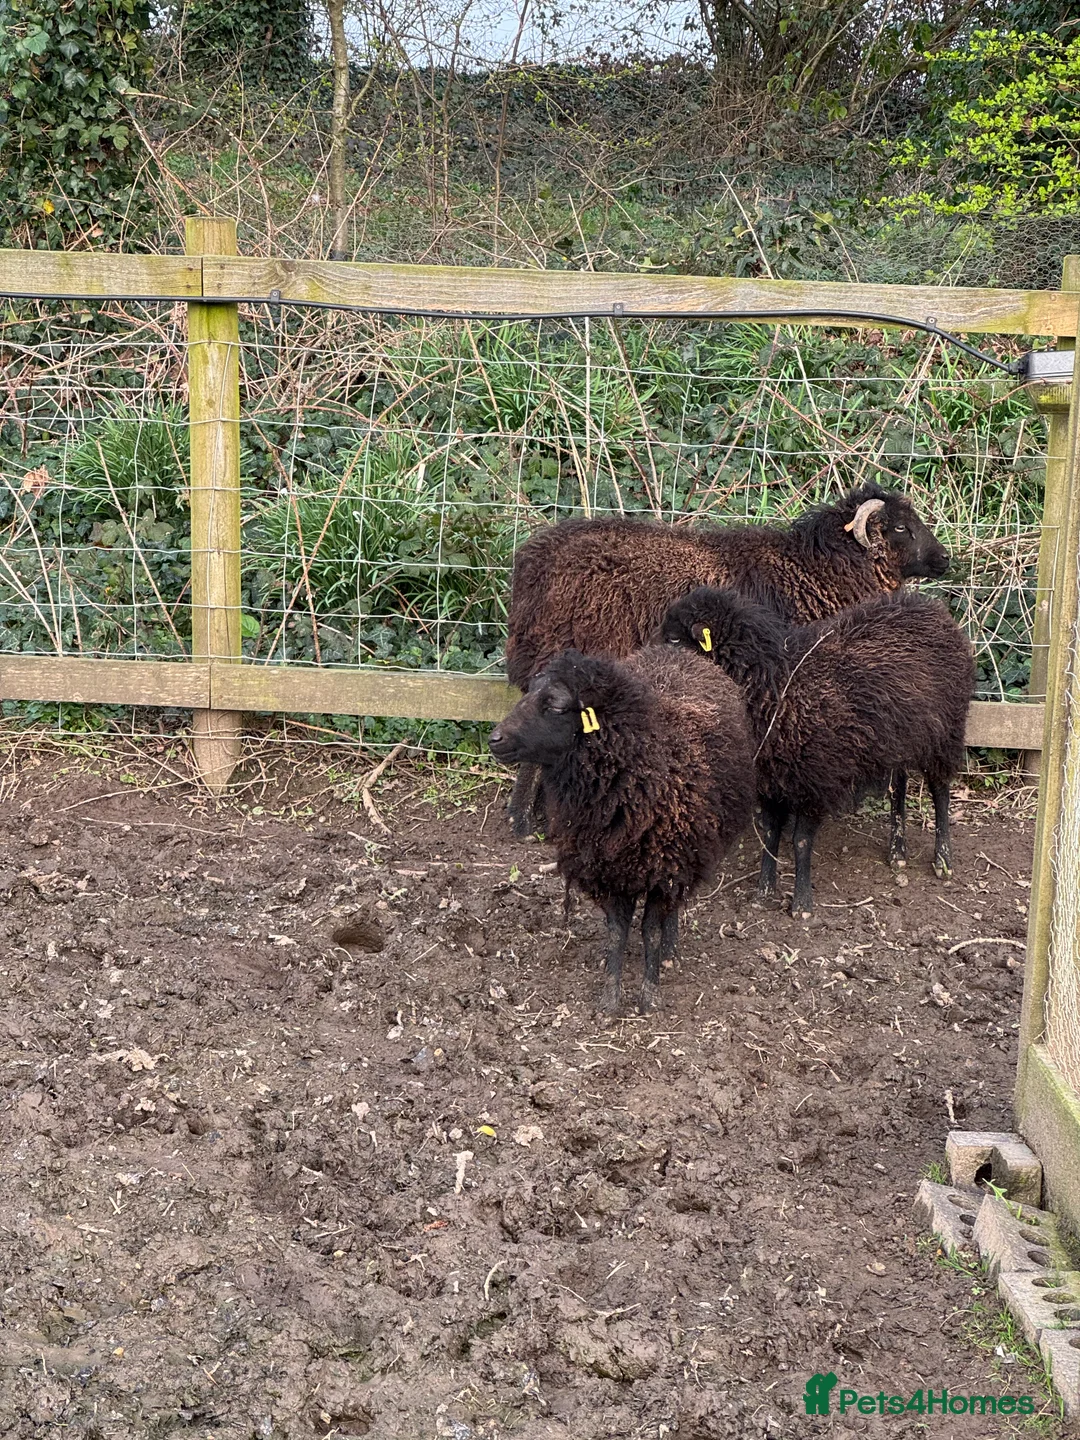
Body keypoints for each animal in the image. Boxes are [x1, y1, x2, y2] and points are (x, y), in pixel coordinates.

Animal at [488, 645, 755, 1013]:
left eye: (556, 705)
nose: (495, 739)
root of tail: (675, 650)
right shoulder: (607, 868)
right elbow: (617, 931)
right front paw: (610, 999)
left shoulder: (667, 867)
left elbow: (651, 931)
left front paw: (649, 997)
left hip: (688, 858)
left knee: (675, 908)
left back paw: (670, 951)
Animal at [658, 587, 973, 917]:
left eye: (676, 639)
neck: (776, 683)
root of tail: (934, 609)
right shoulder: (770, 779)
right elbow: (769, 834)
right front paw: (763, 892)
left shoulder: (816, 779)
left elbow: (800, 841)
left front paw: (801, 904)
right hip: (897, 738)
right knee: (897, 787)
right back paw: (897, 851)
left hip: (945, 731)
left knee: (940, 790)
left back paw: (942, 859)